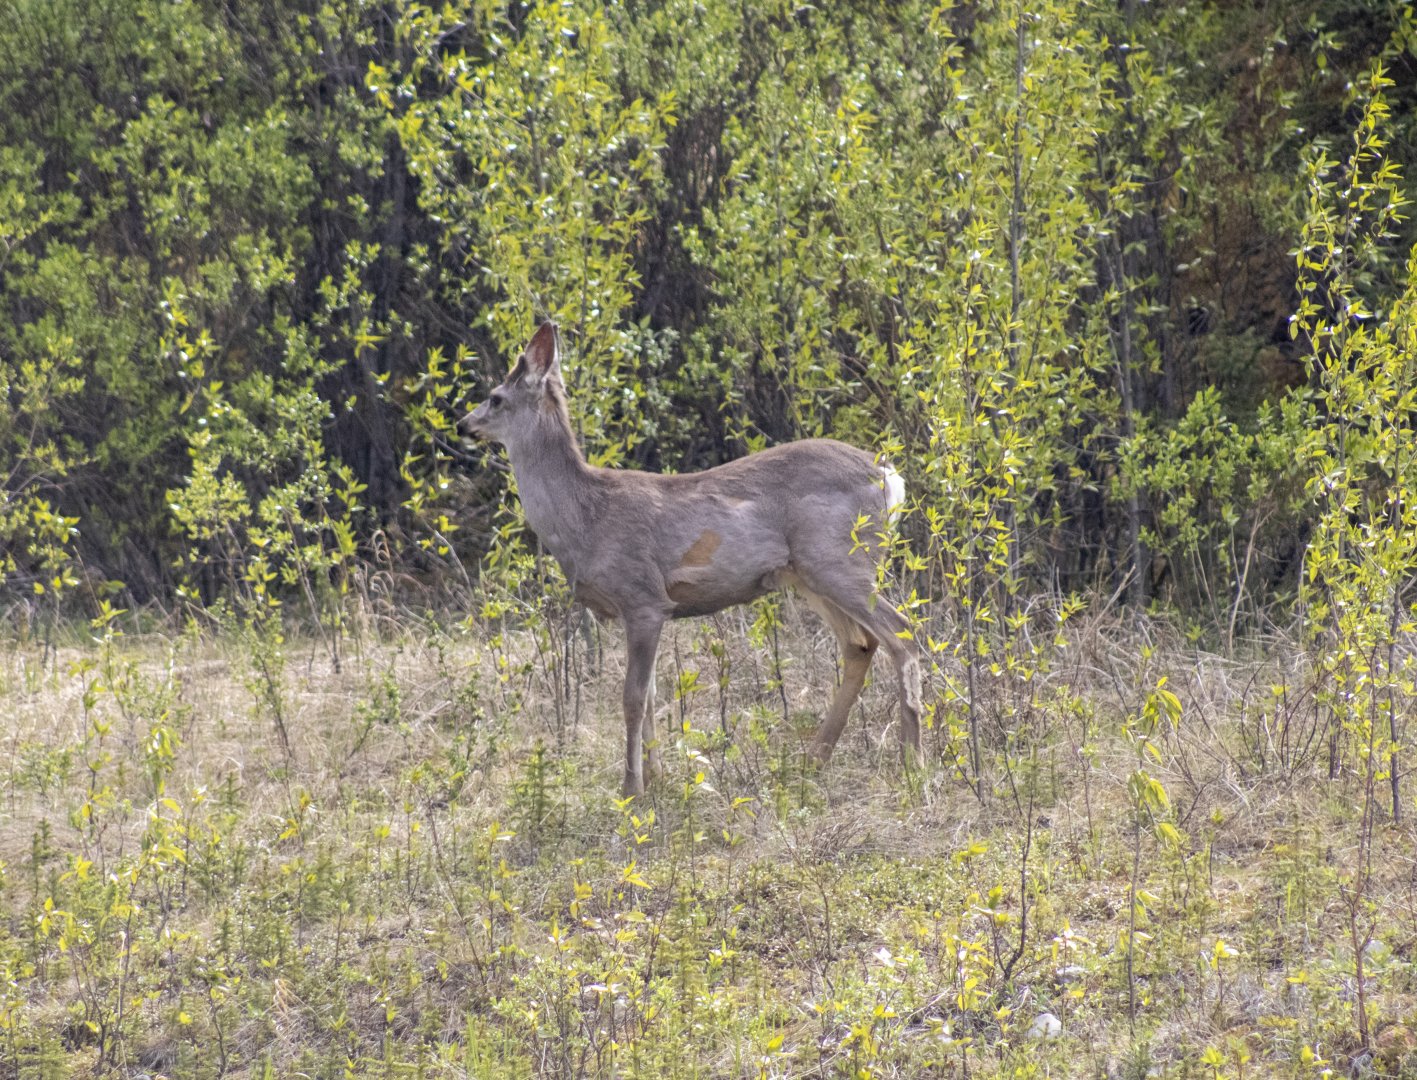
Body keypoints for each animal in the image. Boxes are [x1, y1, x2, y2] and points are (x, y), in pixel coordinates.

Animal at [461, 322, 922, 796]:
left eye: (495, 397)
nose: (464, 425)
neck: (586, 518)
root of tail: (889, 477)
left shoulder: (643, 598)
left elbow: (632, 698)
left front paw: (631, 789)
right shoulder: (641, 610)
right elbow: (650, 697)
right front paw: (658, 777)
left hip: (843, 561)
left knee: (902, 634)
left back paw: (914, 764)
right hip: (808, 575)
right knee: (860, 644)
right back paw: (814, 759)